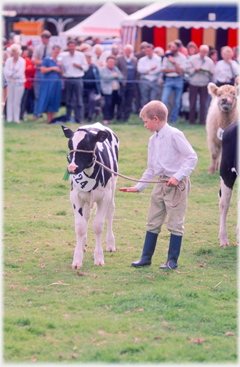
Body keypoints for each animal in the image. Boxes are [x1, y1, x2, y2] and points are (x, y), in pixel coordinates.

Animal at [61, 122, 118, 268]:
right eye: (70, 146)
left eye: (86, 147)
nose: (72, 168)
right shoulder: (75, 196)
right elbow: (80, 227)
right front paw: (77, 259)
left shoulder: (105, 197)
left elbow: (98, 226)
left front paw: (98, 258)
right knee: (86, 215)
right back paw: (83, 243)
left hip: (113, 187)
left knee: (110, 212)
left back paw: (110, 244)